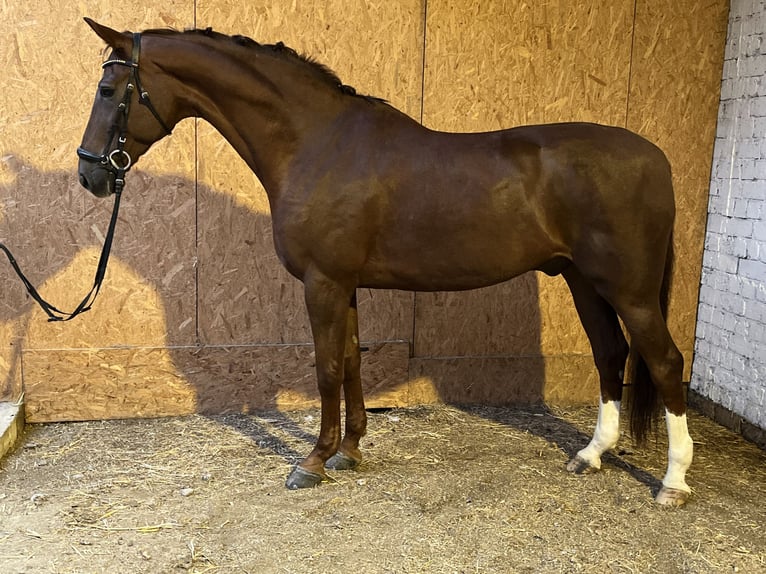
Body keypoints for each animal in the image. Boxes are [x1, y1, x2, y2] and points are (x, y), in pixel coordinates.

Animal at [76, 19, 696, 508]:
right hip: (583, 281)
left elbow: (327, 368)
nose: (89, 174)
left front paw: (312, 461)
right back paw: (590, 455)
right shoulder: (344, 285)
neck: (317, 143)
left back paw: (673, 482)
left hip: (630, 290)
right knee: (610, 353)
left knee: (666, 361)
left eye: (108, 89)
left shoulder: (323, 283)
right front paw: (349, 451)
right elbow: (352, 361)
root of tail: (657, 157)